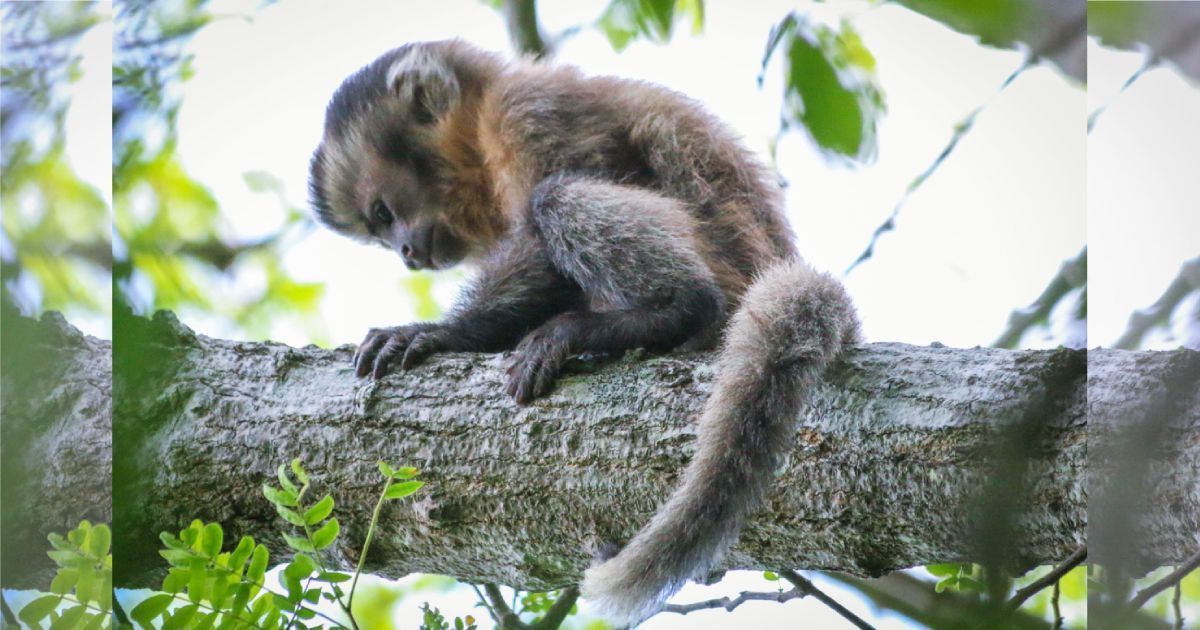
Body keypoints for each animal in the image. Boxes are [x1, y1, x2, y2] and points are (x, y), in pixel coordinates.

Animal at [308, 40, 859, 625]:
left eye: (384, 213)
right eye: (380, 231)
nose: (407, 254)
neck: (480, 125)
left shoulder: (528, 113)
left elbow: (544, 231)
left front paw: (445, 333)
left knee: (559, 196)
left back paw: (672, 311)